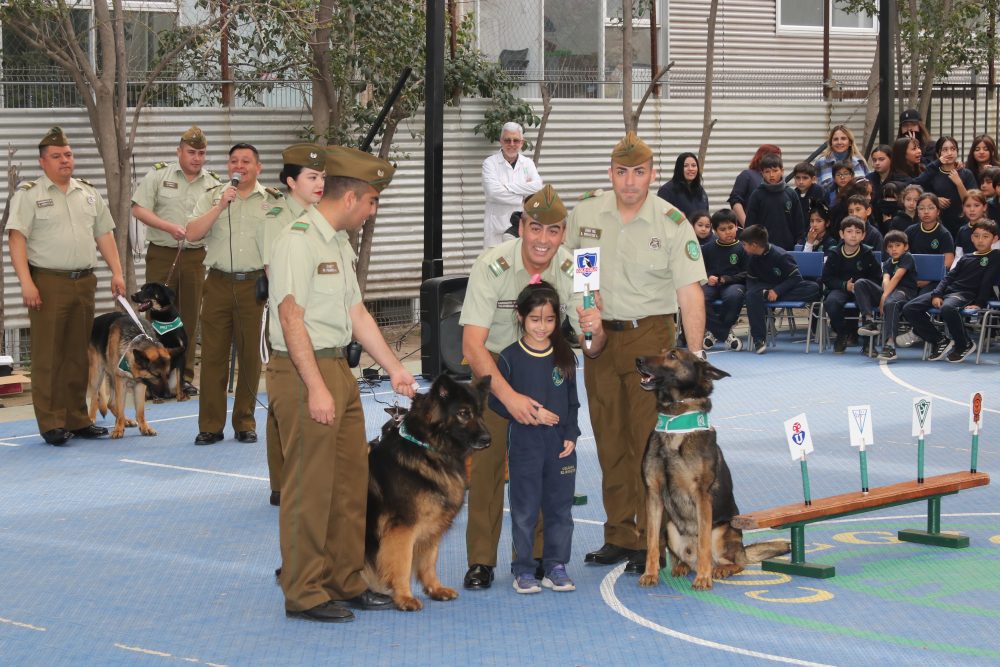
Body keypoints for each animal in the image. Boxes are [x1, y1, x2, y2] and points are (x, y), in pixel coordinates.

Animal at [368, 376, 492, 612]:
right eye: (464, 413)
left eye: (480, 413)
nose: (488, 439)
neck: (428, 450)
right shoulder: (403, 529)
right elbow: (403, 563)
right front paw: (404, 597)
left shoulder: (433, 526)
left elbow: (429, 560)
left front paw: (435, 589)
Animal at [632, 350, 788, 588]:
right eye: (660, 352)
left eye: (672, 355)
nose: (638, 360)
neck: (675, 422)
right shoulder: (654, 494)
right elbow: (650, 542)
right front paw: (650, 573)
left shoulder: (702, 496)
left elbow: (703, 542)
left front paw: (703, 579)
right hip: (670, 529)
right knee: (685, 558)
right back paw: (682, 566)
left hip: (723, 530)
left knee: (735, 562)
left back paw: (719, 569)